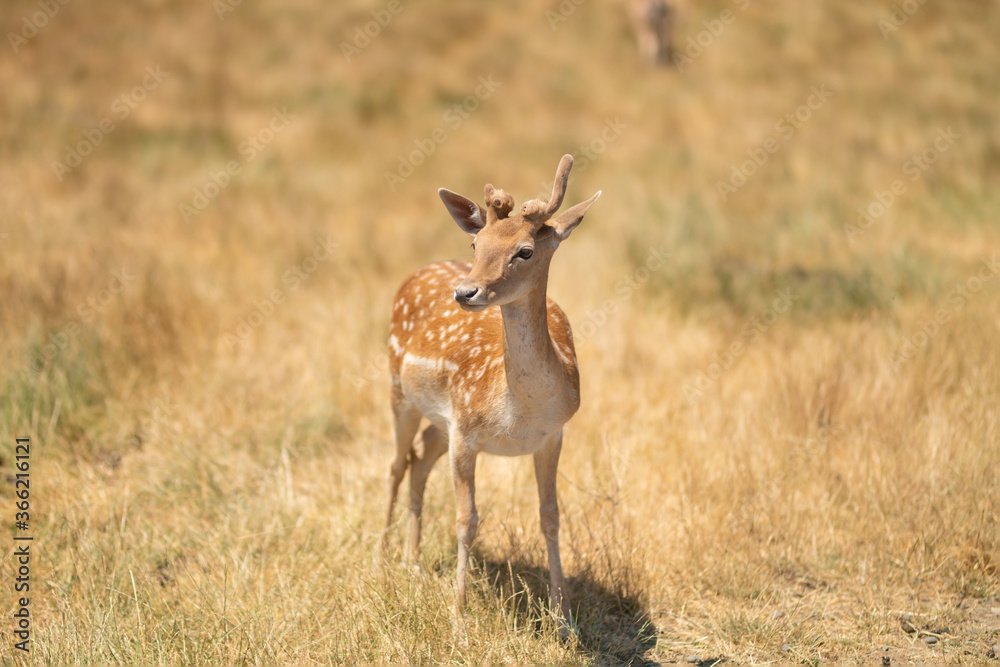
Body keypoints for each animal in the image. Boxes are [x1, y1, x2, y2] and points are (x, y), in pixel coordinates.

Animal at [381, 154, 601, 634]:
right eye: (475, 244)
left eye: (526, 250)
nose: (466, 291)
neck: (518, 411)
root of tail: (415, 273)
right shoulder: (466, 431)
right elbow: (467, 521)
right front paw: (458, 619)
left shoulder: (553, 434)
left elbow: (550, 518)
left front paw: (564, 619)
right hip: (398, 388)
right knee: (395, 464)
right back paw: (379, 558)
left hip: (439, 420)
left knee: (418, 457)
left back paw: (411, 561)